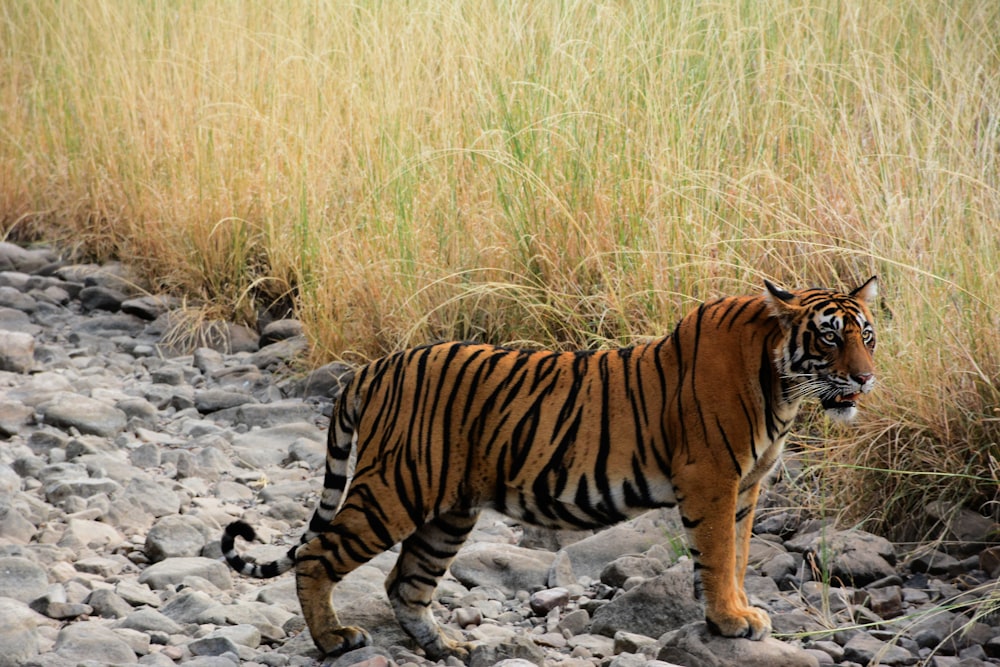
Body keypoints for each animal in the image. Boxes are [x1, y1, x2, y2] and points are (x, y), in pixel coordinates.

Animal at [223, 276, 880, 664]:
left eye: (867, 336)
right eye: (828, 338)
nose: (867, 377)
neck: (781, 386)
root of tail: (373, 367)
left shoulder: (746, 486)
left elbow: (740, 555)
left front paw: (743, 612)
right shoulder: (713, 480)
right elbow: (718, 557)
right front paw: (729, 621)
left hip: (448, 512)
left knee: (404, 584)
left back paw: (449, 646)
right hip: (396, 488)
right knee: (317, 555)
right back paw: (334, 640)